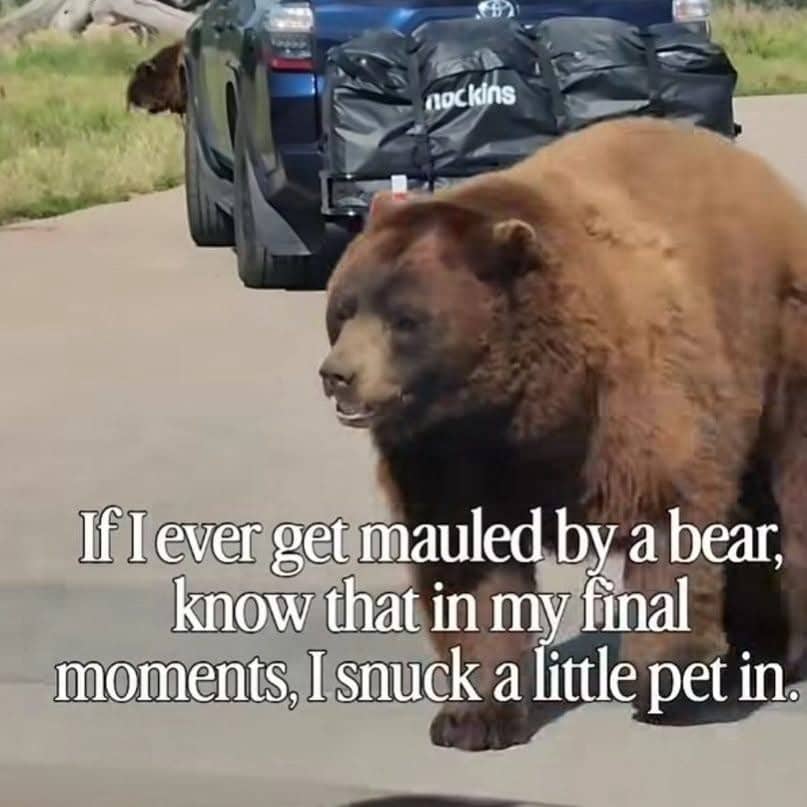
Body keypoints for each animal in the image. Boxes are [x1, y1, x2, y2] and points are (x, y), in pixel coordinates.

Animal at [318, 117, 807, 751]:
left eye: (405, 320)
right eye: (343, 307)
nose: (338, 375)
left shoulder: (634, 400)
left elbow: (669, 518)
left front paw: (666, 684)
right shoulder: (445, 456)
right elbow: (470, 574)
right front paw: (473, 716)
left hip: (777, 344)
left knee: (788, 495)